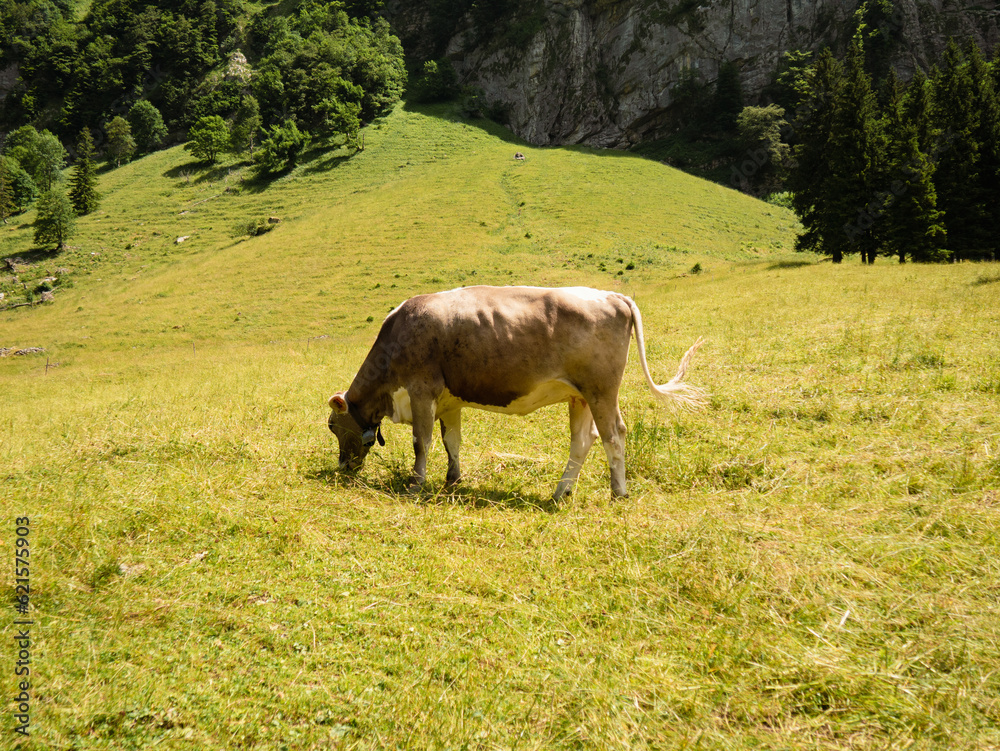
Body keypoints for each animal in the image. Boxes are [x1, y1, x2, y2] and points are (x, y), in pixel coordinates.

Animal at [328, 286, 705, 500]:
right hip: (580, 396)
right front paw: (453, 480)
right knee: (583, 441)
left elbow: (422, 442)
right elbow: (452, 441)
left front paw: (415, 484)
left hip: (601, 391)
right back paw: (561, 492)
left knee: (614, 435)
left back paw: (618, 491)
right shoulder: (449, 400)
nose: (343, 466)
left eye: (333, 427)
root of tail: (614, 295)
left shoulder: (422, 390)